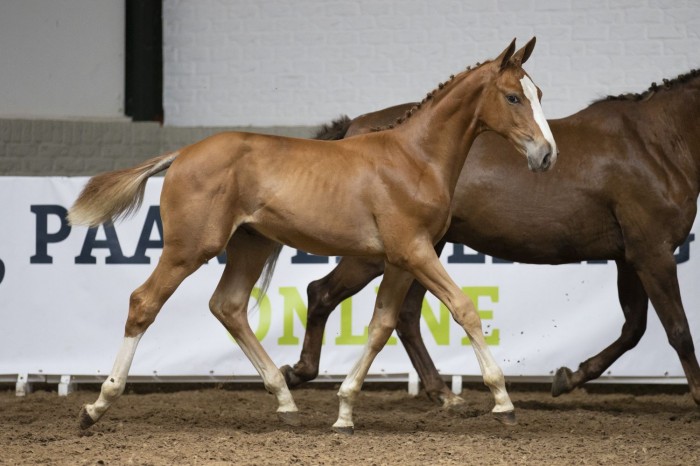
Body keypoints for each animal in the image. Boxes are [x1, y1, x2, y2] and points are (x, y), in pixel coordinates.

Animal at [68, 40, 556, 434]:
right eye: (513, 96)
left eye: (539, 94)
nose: (546, 155)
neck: (414, 159)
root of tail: (183, 152)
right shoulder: (415, 252)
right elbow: (464, 309)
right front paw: (503, 402)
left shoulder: (399, 260)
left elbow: (381, 325)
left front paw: (344, 411)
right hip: (189, 249)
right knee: (144, 302)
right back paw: (97, 405)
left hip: (252, 244)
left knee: (228, 306)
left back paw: (285, 400)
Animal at [280, 69, 700, 408]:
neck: (656, 143)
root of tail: (355, 128)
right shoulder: (653, 253)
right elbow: (678, 331)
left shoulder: (630, 257)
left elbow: (633, 328)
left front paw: (566, 378)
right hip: (379, 253)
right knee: (322, 292)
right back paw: (297, 373)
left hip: (422, 249)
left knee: (405, 316)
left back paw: (442, 393)